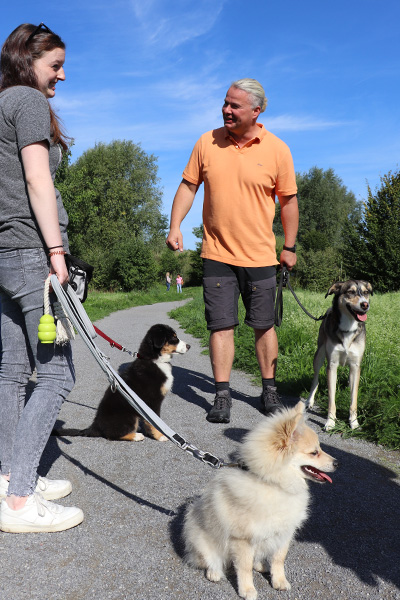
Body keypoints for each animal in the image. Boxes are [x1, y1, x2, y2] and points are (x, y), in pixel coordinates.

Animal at [52, 324, 190, 440]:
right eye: (174, 337)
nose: (189, 346)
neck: (154, 360)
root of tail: (95, 426)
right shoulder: (153, 400)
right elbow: (154, 423)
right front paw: (160, 436)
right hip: (129, 416)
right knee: (113, 435)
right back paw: (136, 436)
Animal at [184, 404, 338, 600]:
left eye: (319, 449)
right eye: (314, 452)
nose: (337, 463)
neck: (274, 484)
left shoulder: (283, 534)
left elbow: (278, 560)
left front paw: (279, 581)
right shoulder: (243, 539)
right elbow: (244, 567)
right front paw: (247, 590)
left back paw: (261, 565)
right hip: (200, 540)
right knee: (211, 560)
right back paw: (214, 572)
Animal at [306, 282, 372, 432]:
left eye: (366, 292)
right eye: (350, 292)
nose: (365, 305)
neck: (348, 328)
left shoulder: (355, 366)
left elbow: (353, 400)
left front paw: (354, 422)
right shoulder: (332, 365)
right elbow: (331, 400)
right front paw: (330, 422)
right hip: (319, 355)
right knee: (315, 379)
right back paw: (309, 400)